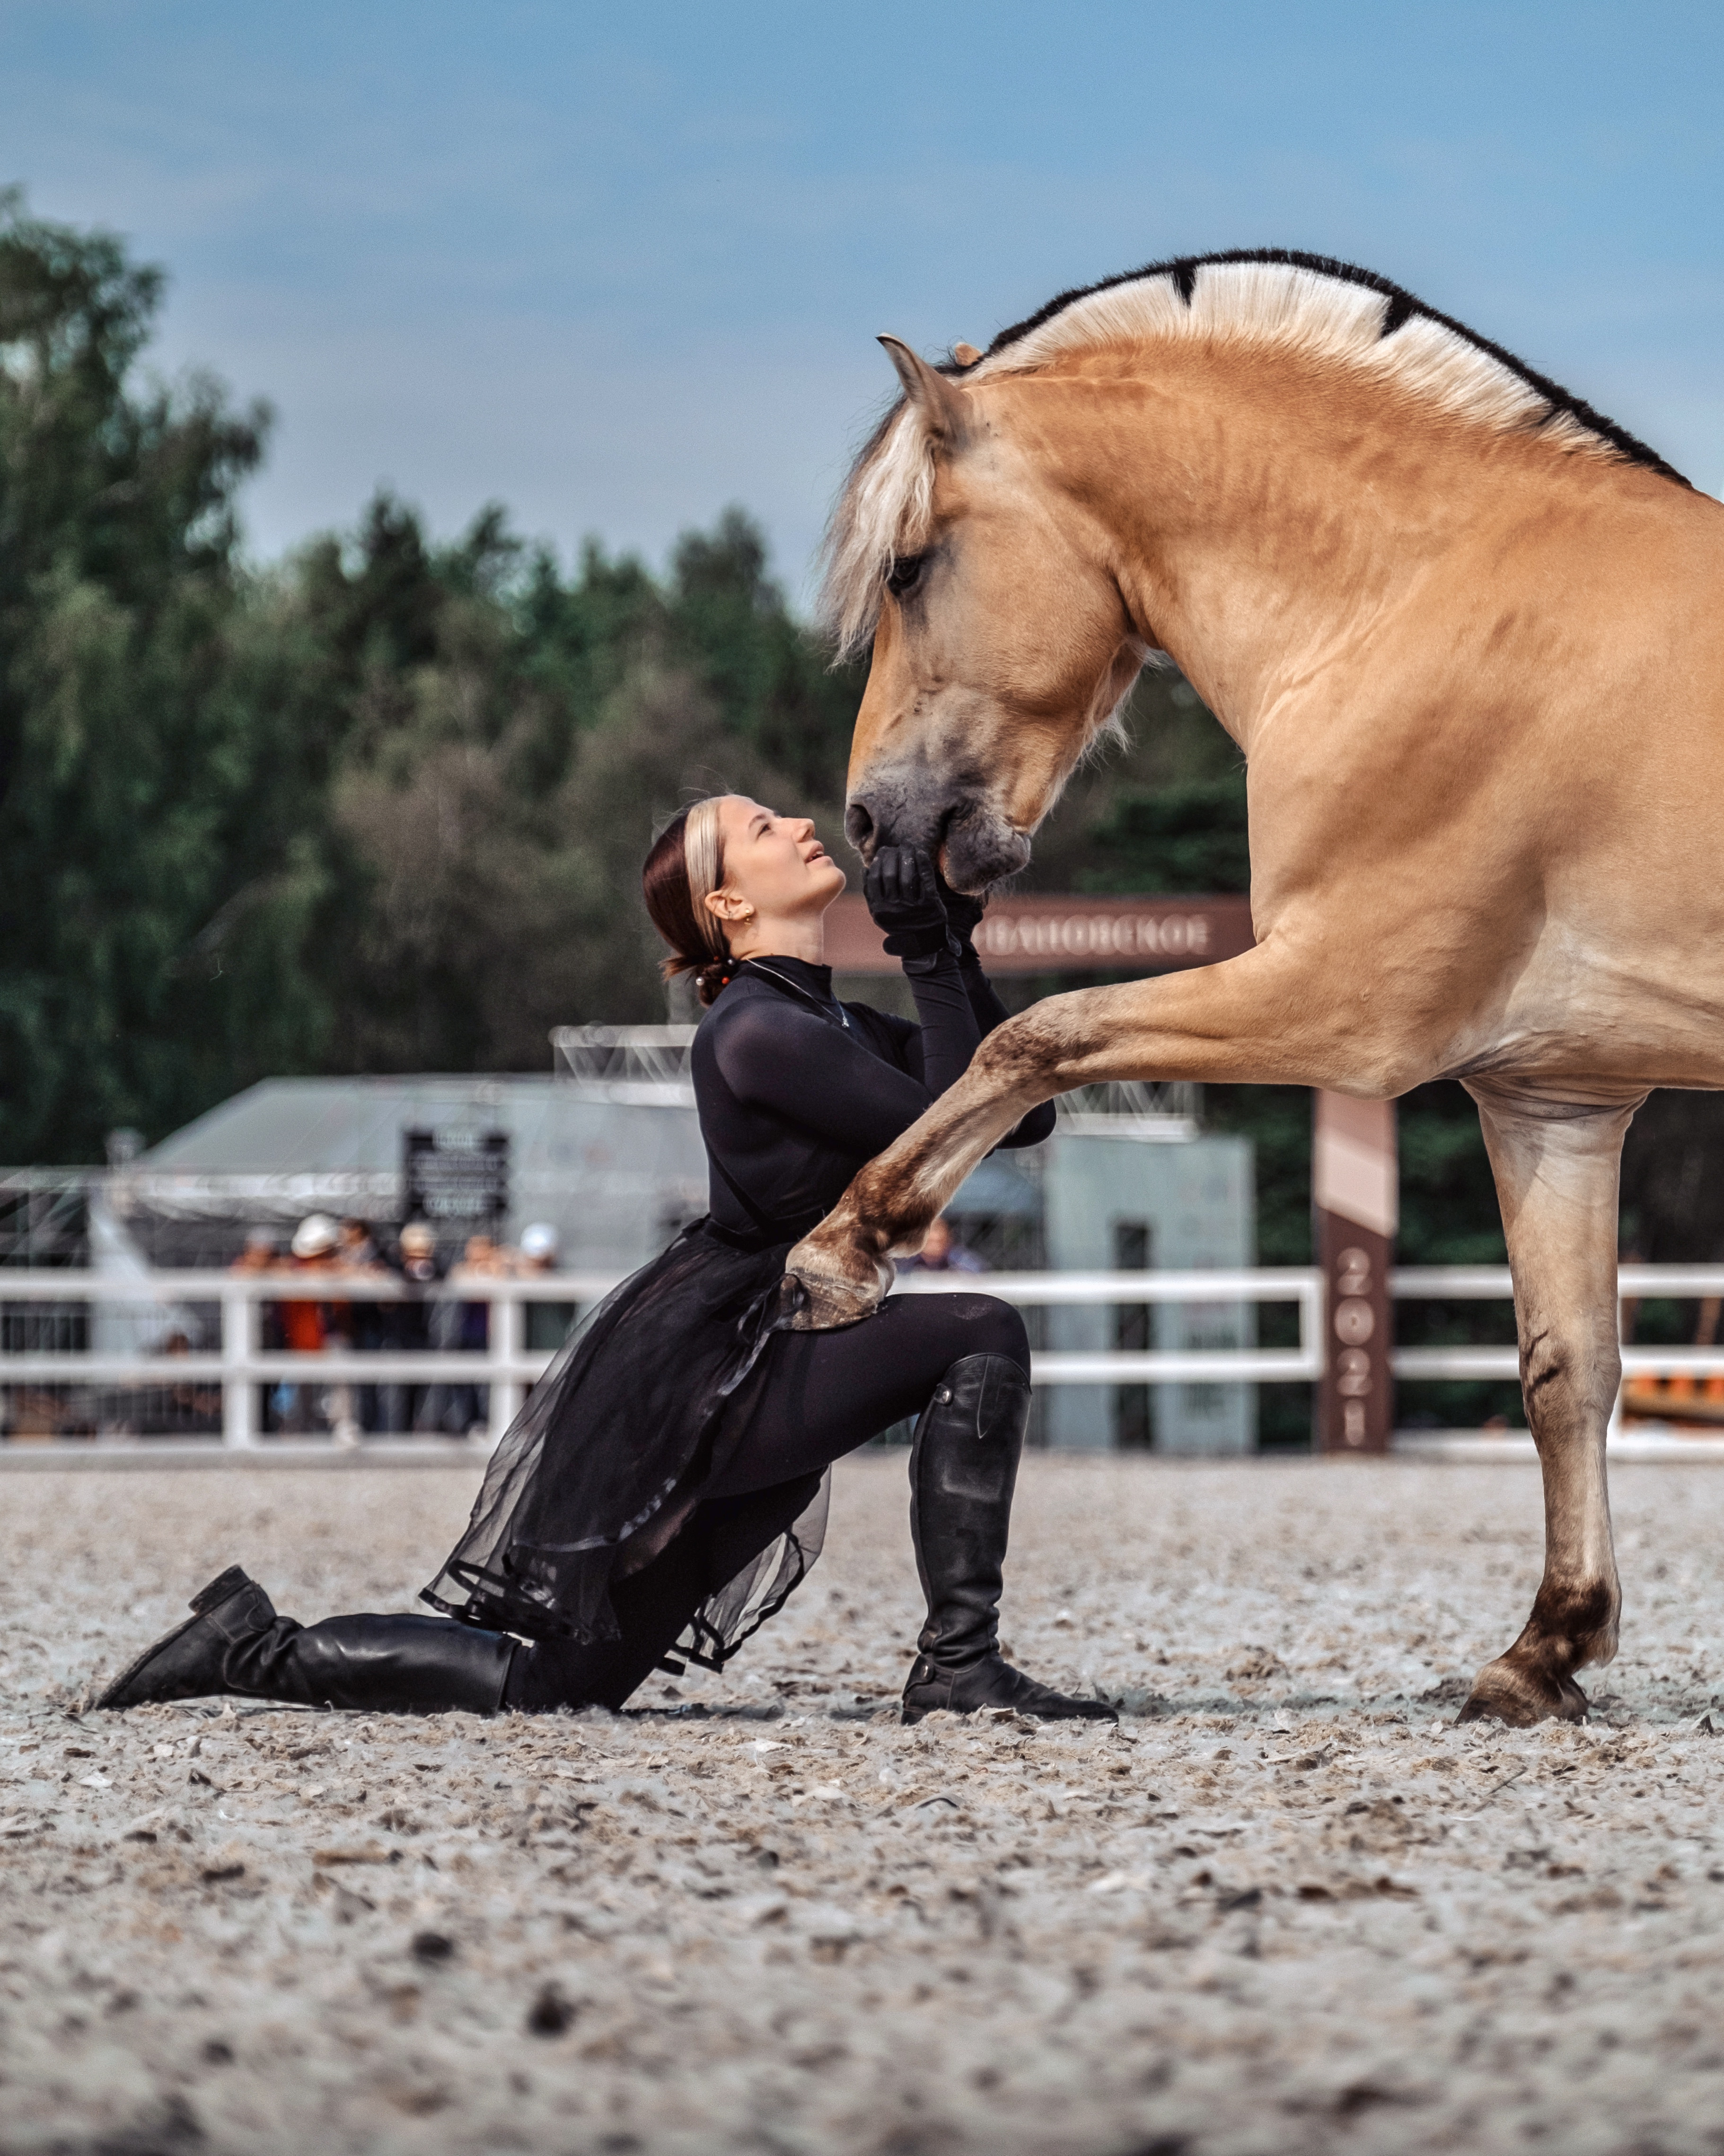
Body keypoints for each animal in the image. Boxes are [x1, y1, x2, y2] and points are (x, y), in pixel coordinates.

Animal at [784, 248, 1724, 1733]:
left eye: (910, 566)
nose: (877, 824)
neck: (1413, 598)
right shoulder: (1552, 1097)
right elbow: (1563, 1366)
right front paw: (1543, 1652)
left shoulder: (1337, 1004)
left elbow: (1033, 1036)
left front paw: (844, 1247)